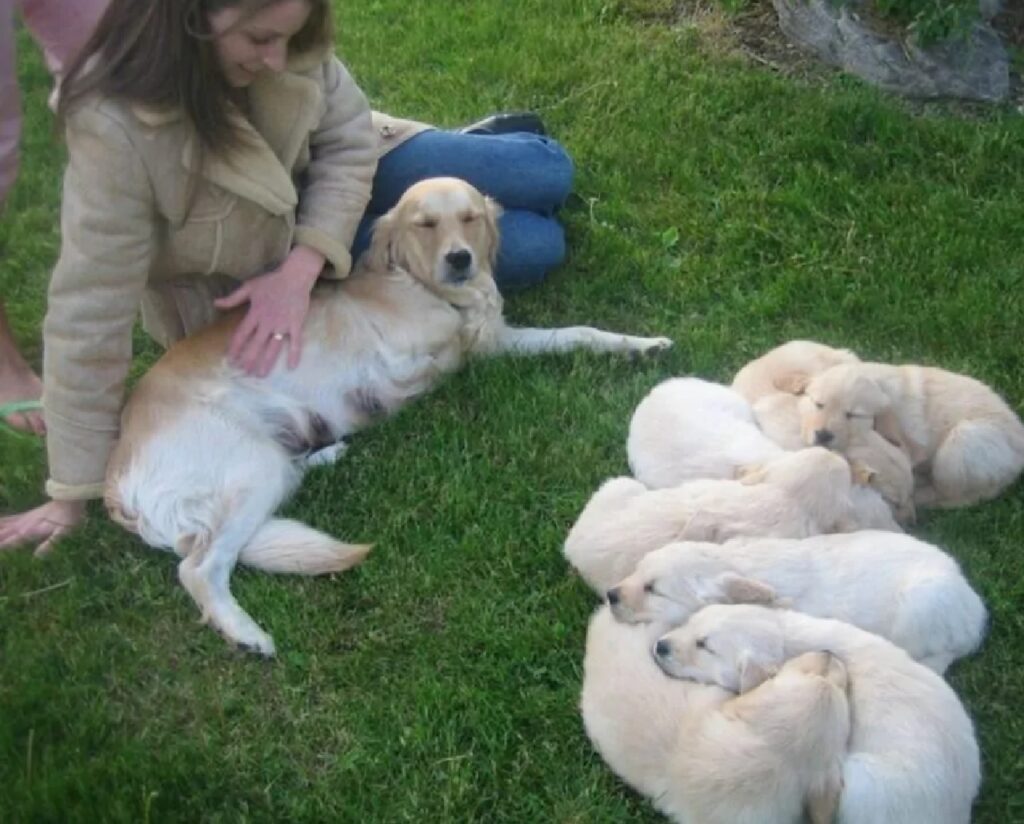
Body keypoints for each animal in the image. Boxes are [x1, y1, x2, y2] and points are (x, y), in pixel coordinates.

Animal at [103, 177, 671, 651]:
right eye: (426, 224)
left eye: (469, 217)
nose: (461, 259)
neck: (419, 286)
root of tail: (115, 480)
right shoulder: (401, 353)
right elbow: (453, 341)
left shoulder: (499, 338)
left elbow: (577, 332)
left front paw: (640, 346)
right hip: (248, 468)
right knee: (199, 569)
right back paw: (246, 633)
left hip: (266, 466)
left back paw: (327, 452)